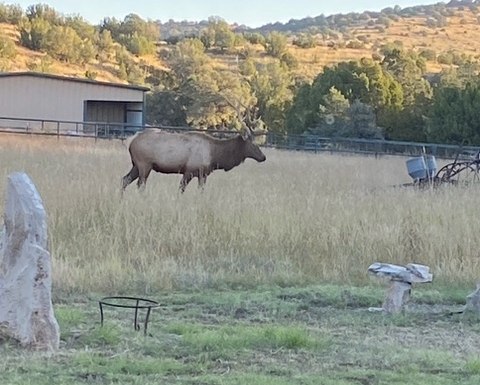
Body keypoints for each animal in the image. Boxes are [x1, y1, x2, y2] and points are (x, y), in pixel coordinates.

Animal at [121, 96, 266, 192]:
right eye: (253, 144)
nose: (263, 157)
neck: (215, 156)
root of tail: (131, 140)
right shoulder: (189, 170)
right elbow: (181, 189)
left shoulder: (203, 174)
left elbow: (200, 191)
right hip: (144, 164)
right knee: (140, 184)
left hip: (136, 165)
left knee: (125, 179)